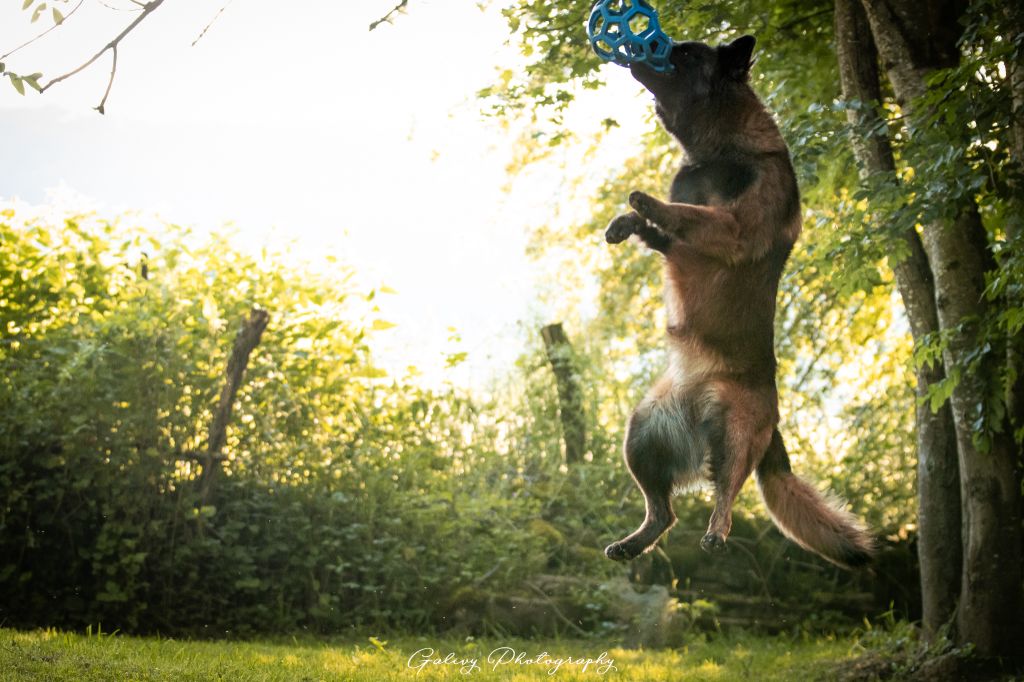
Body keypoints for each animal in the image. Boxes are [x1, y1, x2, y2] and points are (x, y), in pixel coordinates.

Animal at [602, 34, 876, 565]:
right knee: (664, 513)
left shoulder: (733, 227)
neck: (721, 150)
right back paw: (635, 542)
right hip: (642, 432)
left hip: (733, 428)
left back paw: (717, 528)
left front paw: (646, 203)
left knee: (727, 489)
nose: (643, 51)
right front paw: (627, 223)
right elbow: (663, 228)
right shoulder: (678, 243)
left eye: (688, 54)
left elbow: (686, 213)